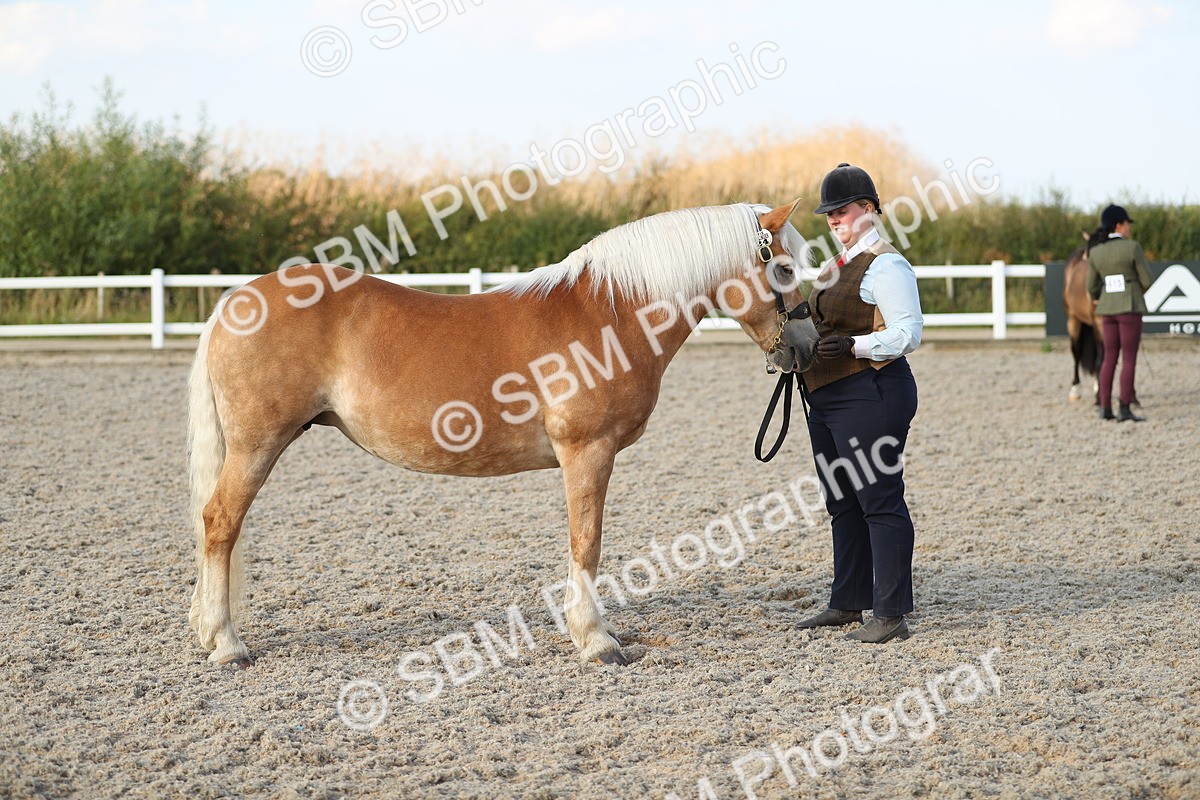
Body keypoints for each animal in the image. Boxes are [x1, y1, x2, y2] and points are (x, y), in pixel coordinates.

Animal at [188, 199, 821, 667]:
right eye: (786, 268)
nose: (809, 346)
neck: (611, 313)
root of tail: (235, 303)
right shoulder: (587, 451)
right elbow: (587, 542)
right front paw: (596, 640)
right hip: (257, 445)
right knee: (220, 523)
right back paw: (227, 643)